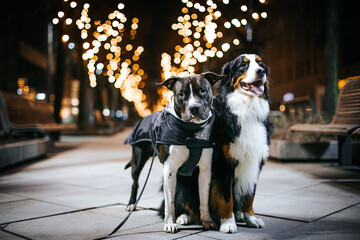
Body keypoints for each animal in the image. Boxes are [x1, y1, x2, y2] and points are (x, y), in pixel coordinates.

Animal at [124, 72, 225, 232]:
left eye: (203, 90)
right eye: (181, 94)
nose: (194, 108)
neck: (190, 131)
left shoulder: (205, 170)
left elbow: (204, 198)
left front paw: (207, 220)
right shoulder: (170, 170)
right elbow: (170, 201)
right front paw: (170, 223)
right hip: (137, 161)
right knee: (135, 182)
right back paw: (131, 204)